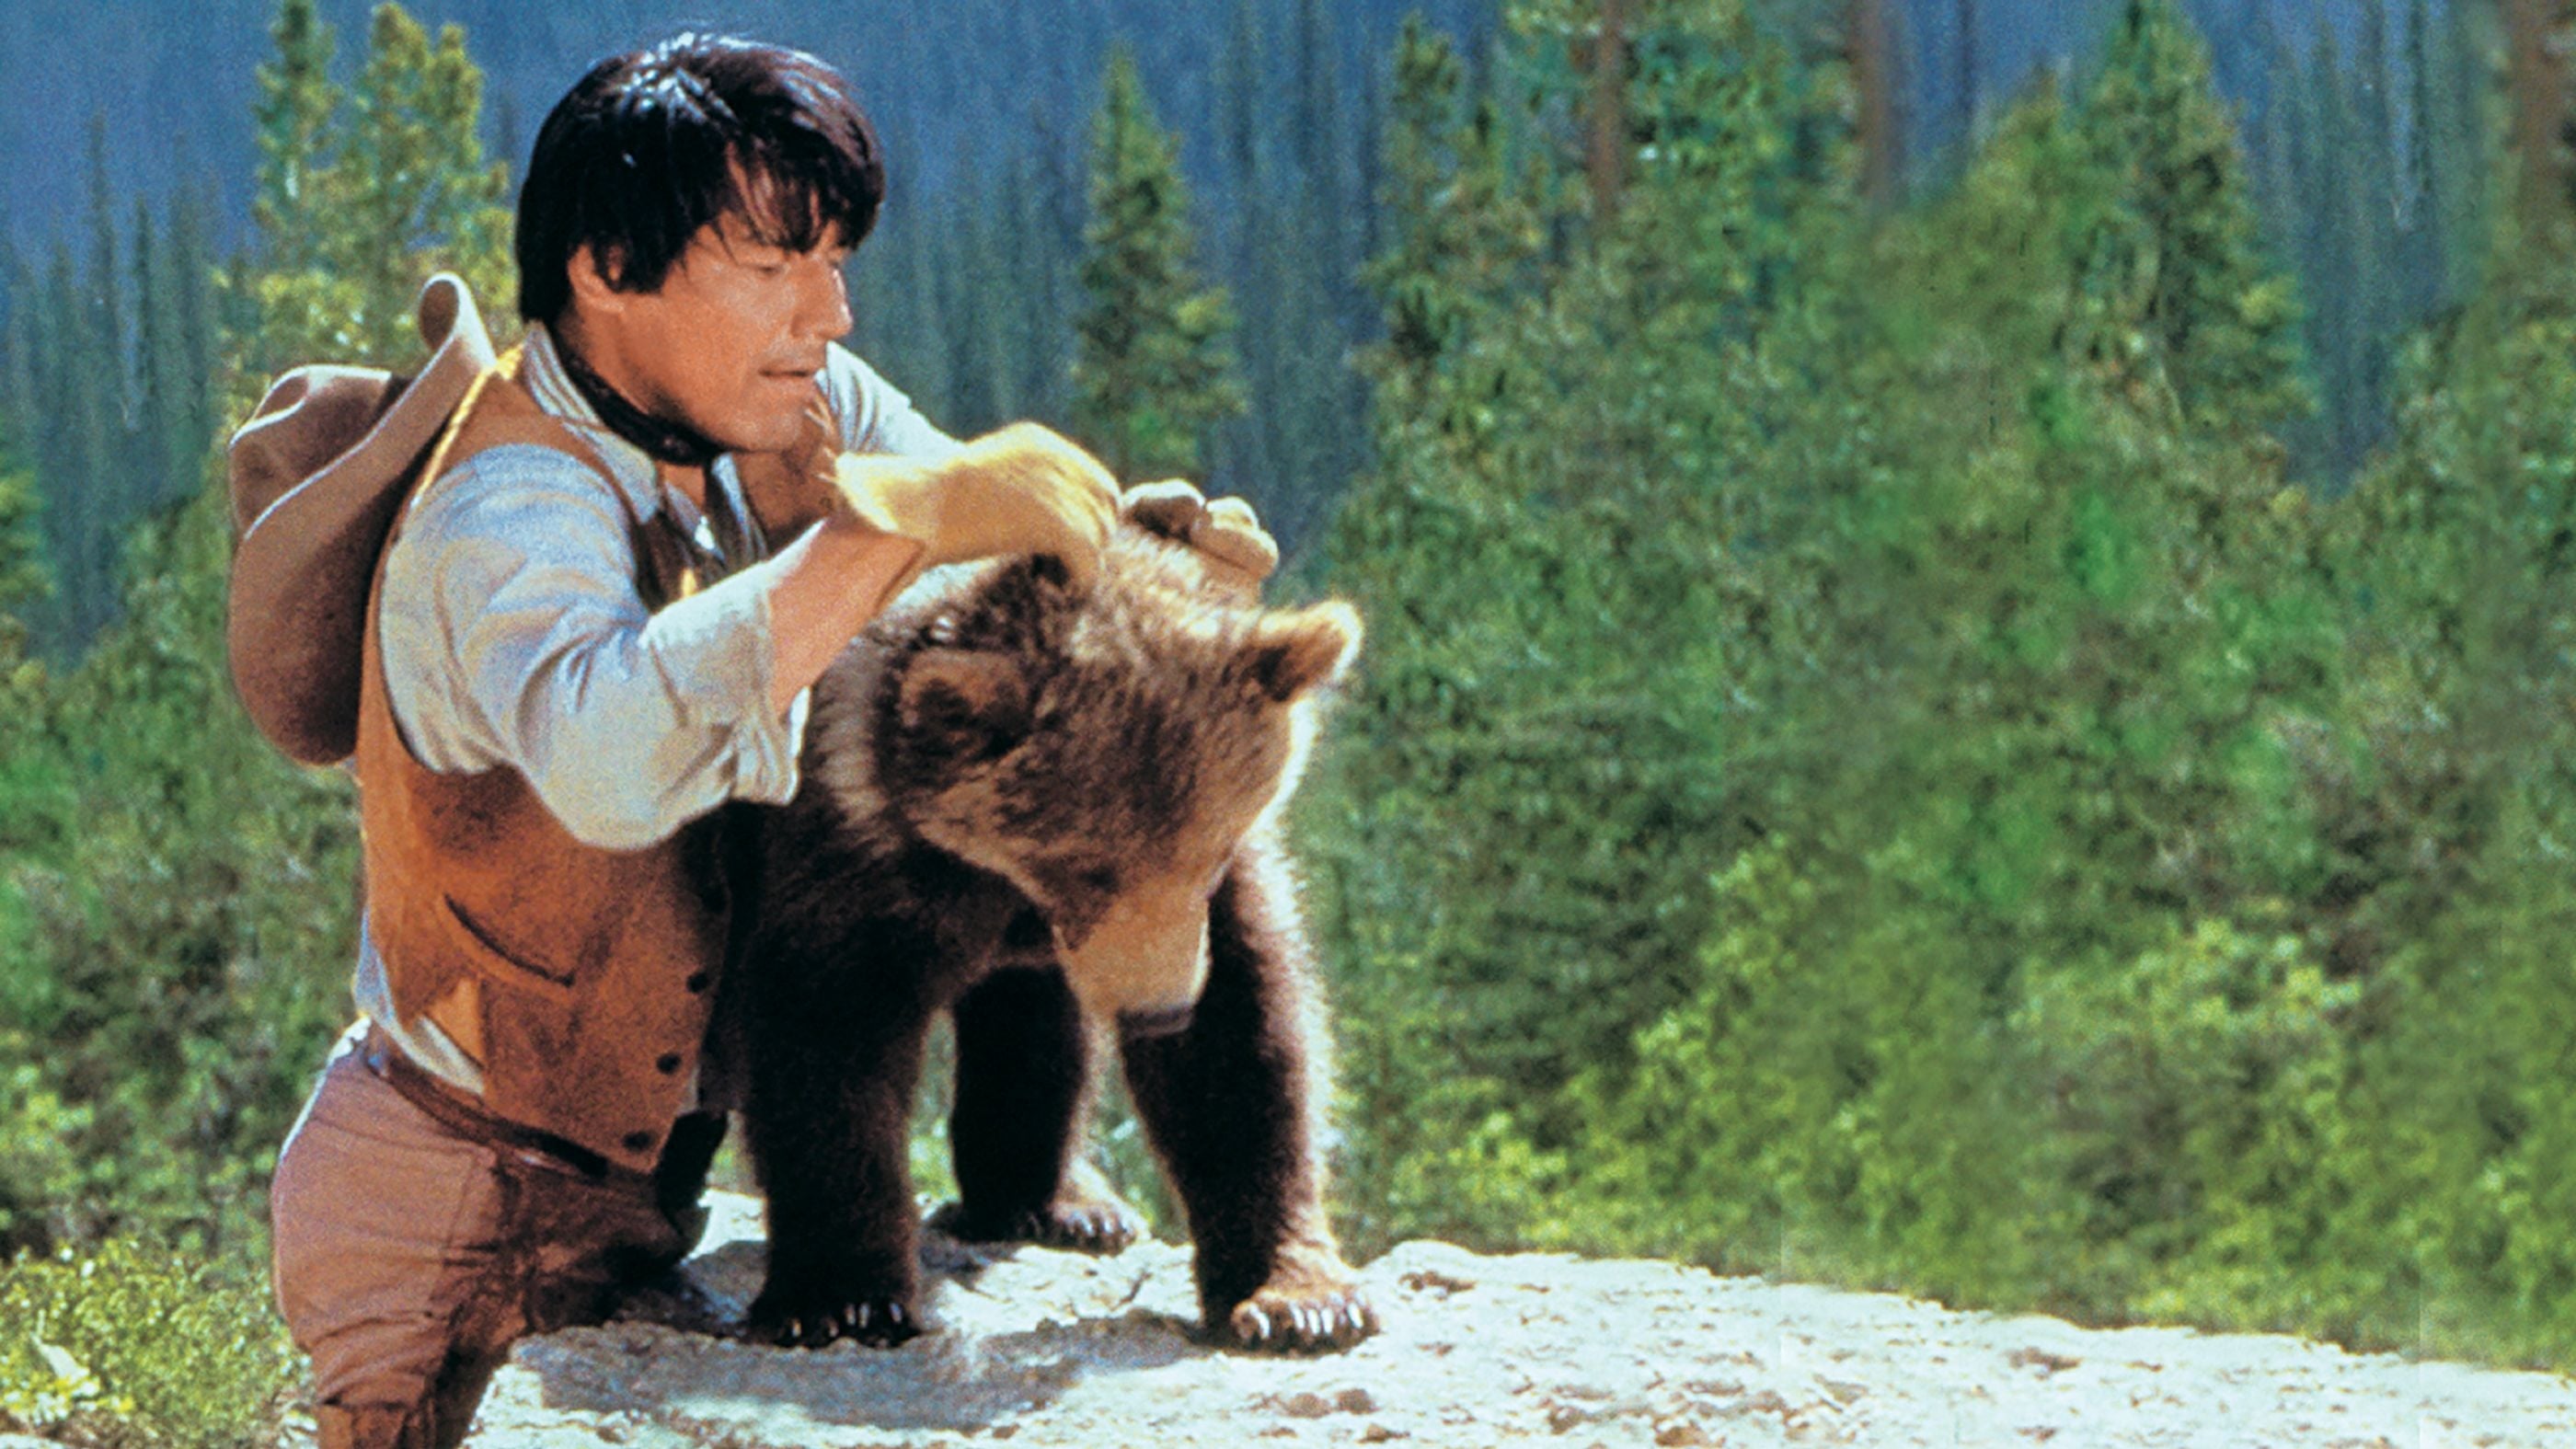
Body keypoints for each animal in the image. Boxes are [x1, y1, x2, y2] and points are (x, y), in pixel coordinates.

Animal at [734, 522, 1376, 1355]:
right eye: (1087, 864)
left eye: (1208, 852)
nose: (1158, 1011)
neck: (1004, 886)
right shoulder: (857, 857)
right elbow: (828, 1036)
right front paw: (843, 1298)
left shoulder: (1220, 900)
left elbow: (1242, 1047)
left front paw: (1300, 1299)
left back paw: (1067, 1204)